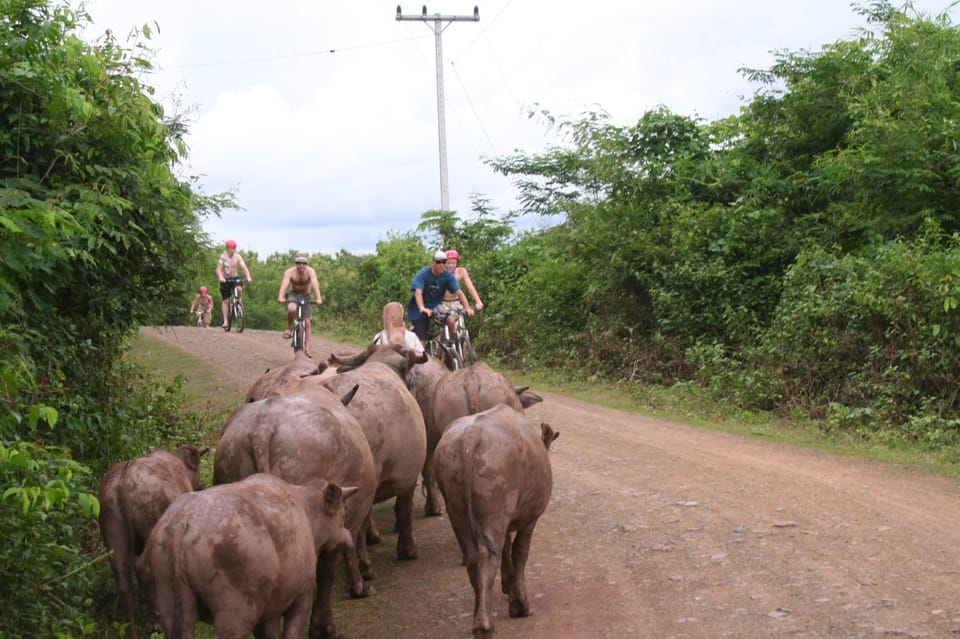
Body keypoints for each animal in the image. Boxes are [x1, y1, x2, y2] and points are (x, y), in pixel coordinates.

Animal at [135, 472, 356, 639]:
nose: (349, 536)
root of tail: (181, 524)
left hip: (168, 601)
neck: (309, 513)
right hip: (238, 610)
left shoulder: (268, 611)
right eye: (343, 513)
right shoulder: (303, 593)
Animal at [434, 404, 560, 639]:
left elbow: (507, 547)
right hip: (495, 494)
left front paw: (507, 585)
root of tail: (471, 438)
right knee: (488, 556)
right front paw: (519, 604)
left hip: (455, 503)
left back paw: (479, 614)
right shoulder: (531, 518)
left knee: (473, 556)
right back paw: (485, 626)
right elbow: (520, 552)